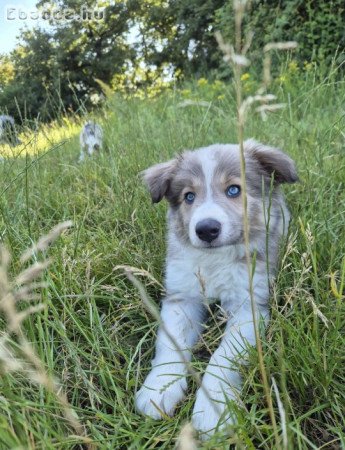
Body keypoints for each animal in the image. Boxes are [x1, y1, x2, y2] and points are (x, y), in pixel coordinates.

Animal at [136, 140, 296, 436]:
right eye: (189, 196)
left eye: (234, 190)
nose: (206, 229)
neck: (215, 259)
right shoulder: (182, 296)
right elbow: (170, 343)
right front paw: (159, 389)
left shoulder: (248, 305)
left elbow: (224, 355)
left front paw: (214, 409)